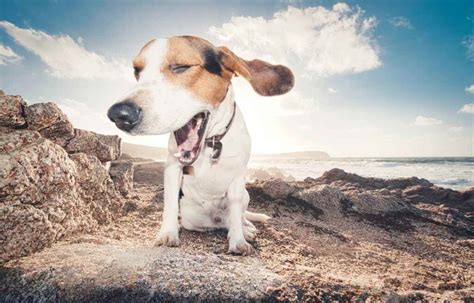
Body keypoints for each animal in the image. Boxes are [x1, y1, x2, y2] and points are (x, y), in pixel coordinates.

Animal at [107, 36, 292, 254]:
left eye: (180, 66)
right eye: (137, 71)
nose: (119, 114)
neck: (211, 143)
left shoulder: (238, 175)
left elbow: (235, 212)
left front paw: (238, 240)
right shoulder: (173, 168)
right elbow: (170, 205)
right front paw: (168, 234)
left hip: (246, 195)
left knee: (237, 217)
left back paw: (246, 228)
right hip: (192, 217)